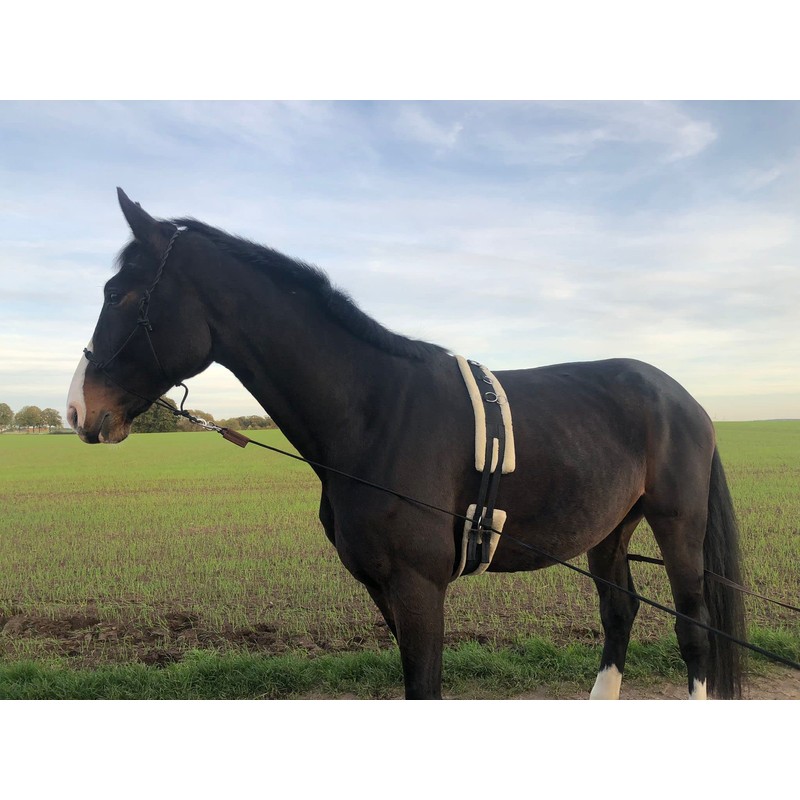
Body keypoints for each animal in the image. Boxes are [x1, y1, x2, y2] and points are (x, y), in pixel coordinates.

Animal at [66, 188, 747, 699]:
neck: (374, 413)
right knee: (619, 612)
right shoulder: (383, 587)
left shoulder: (419, 588)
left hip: (678, 525)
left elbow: (426, 686)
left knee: (695, 632)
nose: (78, 409)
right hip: (609, 528)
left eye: (117, 294)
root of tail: (682, 398)